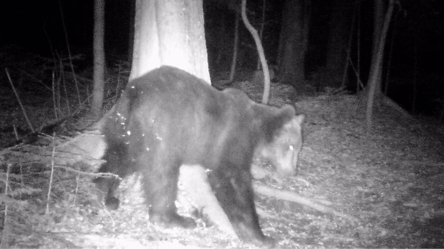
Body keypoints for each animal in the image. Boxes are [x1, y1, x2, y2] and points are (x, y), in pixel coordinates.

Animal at [91, 65, 304, 247]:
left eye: (298, 147)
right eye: (291, 146)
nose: (292, 172)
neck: (255, 131)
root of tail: (134, 95)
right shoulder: (231, 140)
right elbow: (233, 182)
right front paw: (260, 236)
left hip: (123, 128)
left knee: (119, 157)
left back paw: (105, 193)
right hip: (162, 131)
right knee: (162, 174)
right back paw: (175, 219)